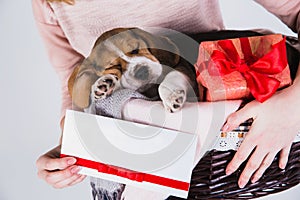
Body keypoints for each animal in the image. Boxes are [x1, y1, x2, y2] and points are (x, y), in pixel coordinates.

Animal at [68, 27, 199, 113]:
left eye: (135, 49)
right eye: (115, 67)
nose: (141, 72)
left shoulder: (183, 67)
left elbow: (173, 74)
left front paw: (171, 96)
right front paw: (102, 85)